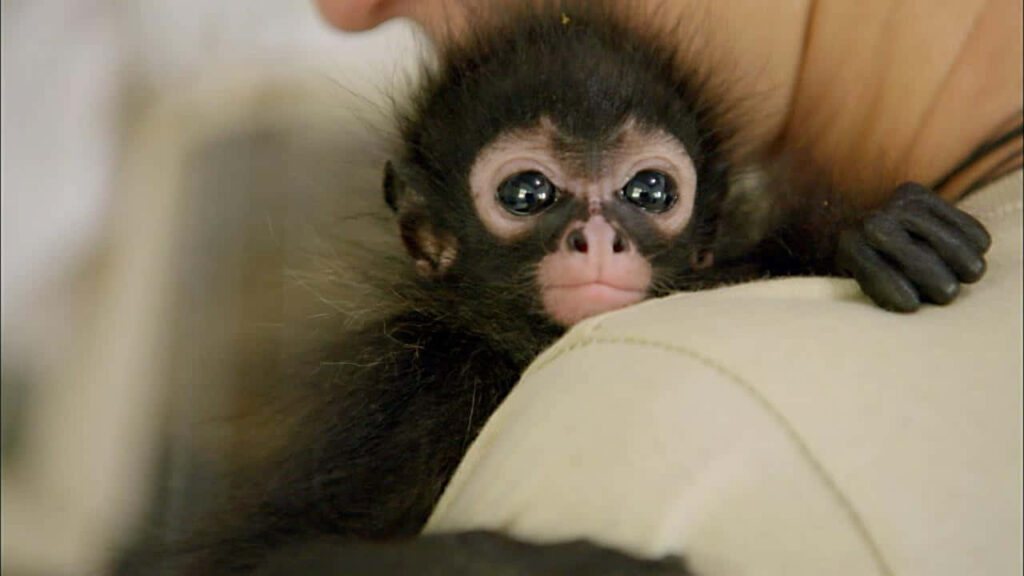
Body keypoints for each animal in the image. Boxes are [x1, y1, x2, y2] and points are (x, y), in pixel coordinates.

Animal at [172, 3, 993, 574]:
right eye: (528, 193)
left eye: (650, 190)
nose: (598, 239)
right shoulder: (413, 384)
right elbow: (265, 554)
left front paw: (863, 229)